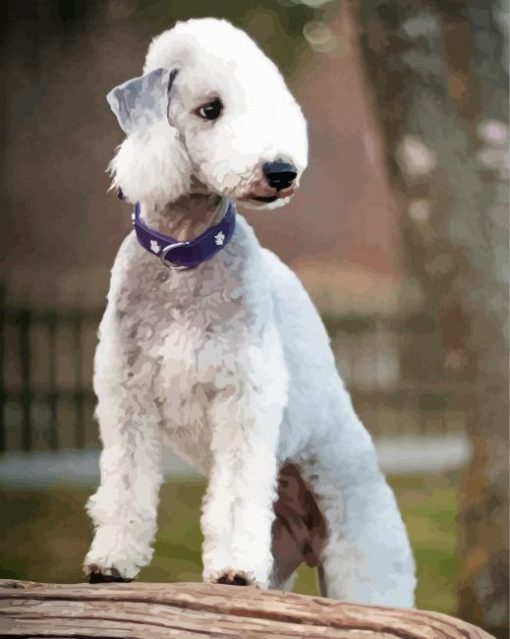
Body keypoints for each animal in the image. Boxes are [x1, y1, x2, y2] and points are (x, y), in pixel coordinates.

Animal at [83, 16, 416, 604]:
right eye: (209, 108)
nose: (281, 171)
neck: (186, 255)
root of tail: (306, 541)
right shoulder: (127, 397)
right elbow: (126, 484)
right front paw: (112, 562)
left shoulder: (243, 395)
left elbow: (237, 492)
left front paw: (234, 569)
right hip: (282, 553)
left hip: (360, 541)